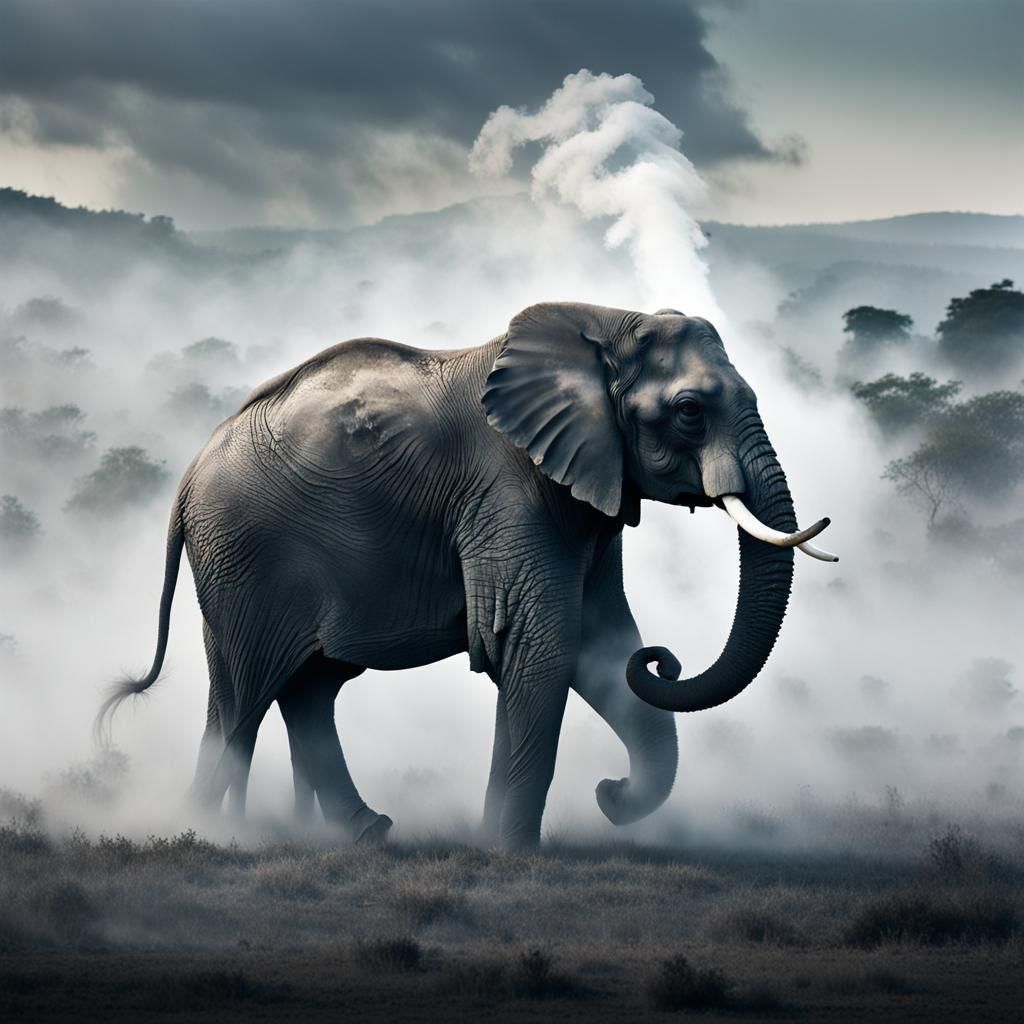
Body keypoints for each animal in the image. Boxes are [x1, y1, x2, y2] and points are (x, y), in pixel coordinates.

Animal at [100, 302, 835, 849]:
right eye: (688, 411)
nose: (607, 791)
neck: (603, 325)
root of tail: (187, 479)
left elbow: (599, 645)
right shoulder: (508, 489)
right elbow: (543, 647)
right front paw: (512, 853)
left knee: (306, 687)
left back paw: (365, 832)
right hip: (247, 559)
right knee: (245, 697)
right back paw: (207, 832)